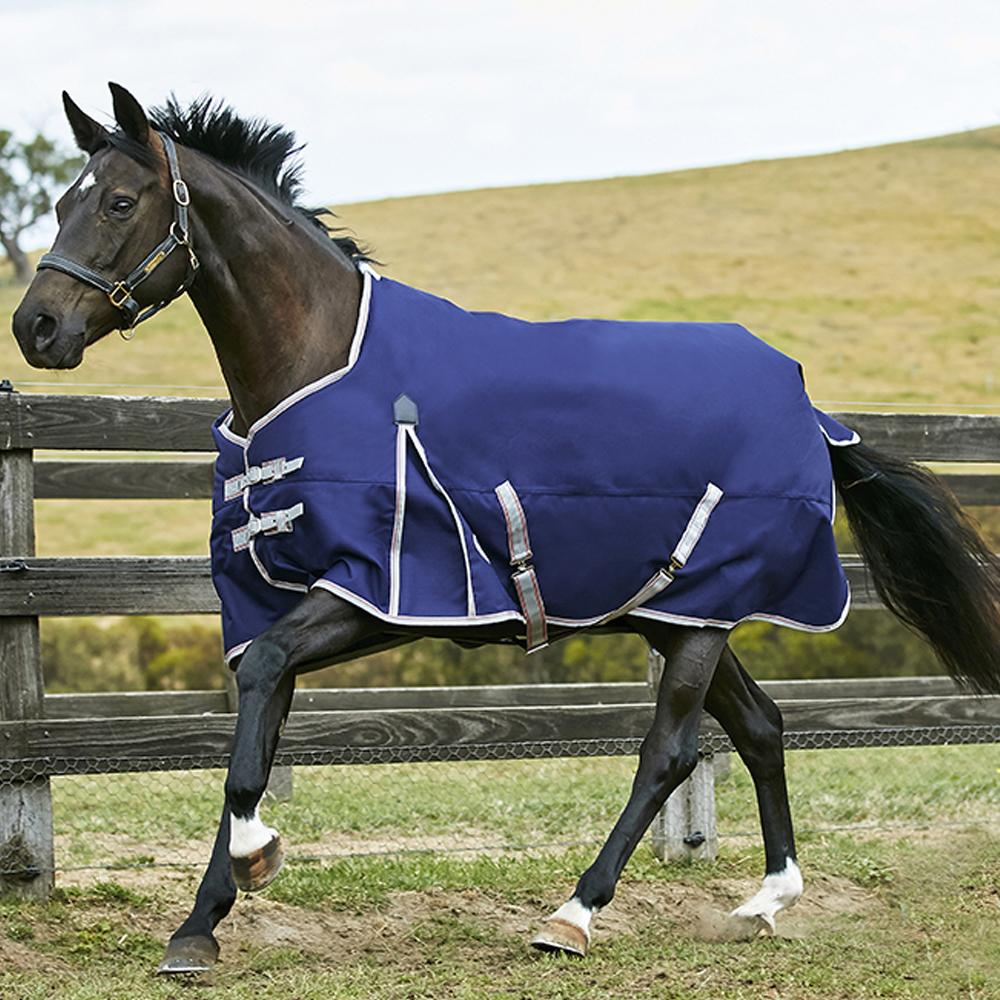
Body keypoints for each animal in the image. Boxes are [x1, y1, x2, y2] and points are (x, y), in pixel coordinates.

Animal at [11, 83, 1000, 975]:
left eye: (120, 201)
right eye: (59, 201)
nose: (37, 327)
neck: (322, 364)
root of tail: (809, 407)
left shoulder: (373, 595)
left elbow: (253, 722)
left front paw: (257, 860)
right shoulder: (281, 603)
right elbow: (252, 734)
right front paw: (199, 927)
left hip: (701, 619)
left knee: (670, 752)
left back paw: (573, 915)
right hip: (677, 613)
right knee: (760, 726)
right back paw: (765, 899)